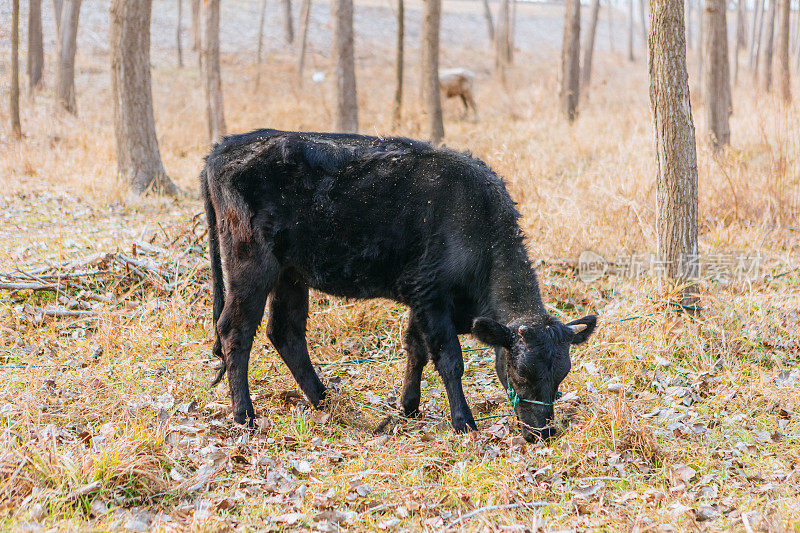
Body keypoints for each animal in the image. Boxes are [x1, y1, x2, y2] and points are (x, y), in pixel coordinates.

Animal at [203, 129, 596, 440]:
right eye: (520, 373)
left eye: (561, 376)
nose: (543, 432)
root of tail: (227, 146)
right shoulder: (432, 296)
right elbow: (449, 360)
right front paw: (463, 422)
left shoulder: (420, 296)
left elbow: (415, 348)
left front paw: (408, 407)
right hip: (250, 265)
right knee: (235, 331)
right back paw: (245, 416)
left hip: (290, 273)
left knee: (286, 332)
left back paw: (324, 400)